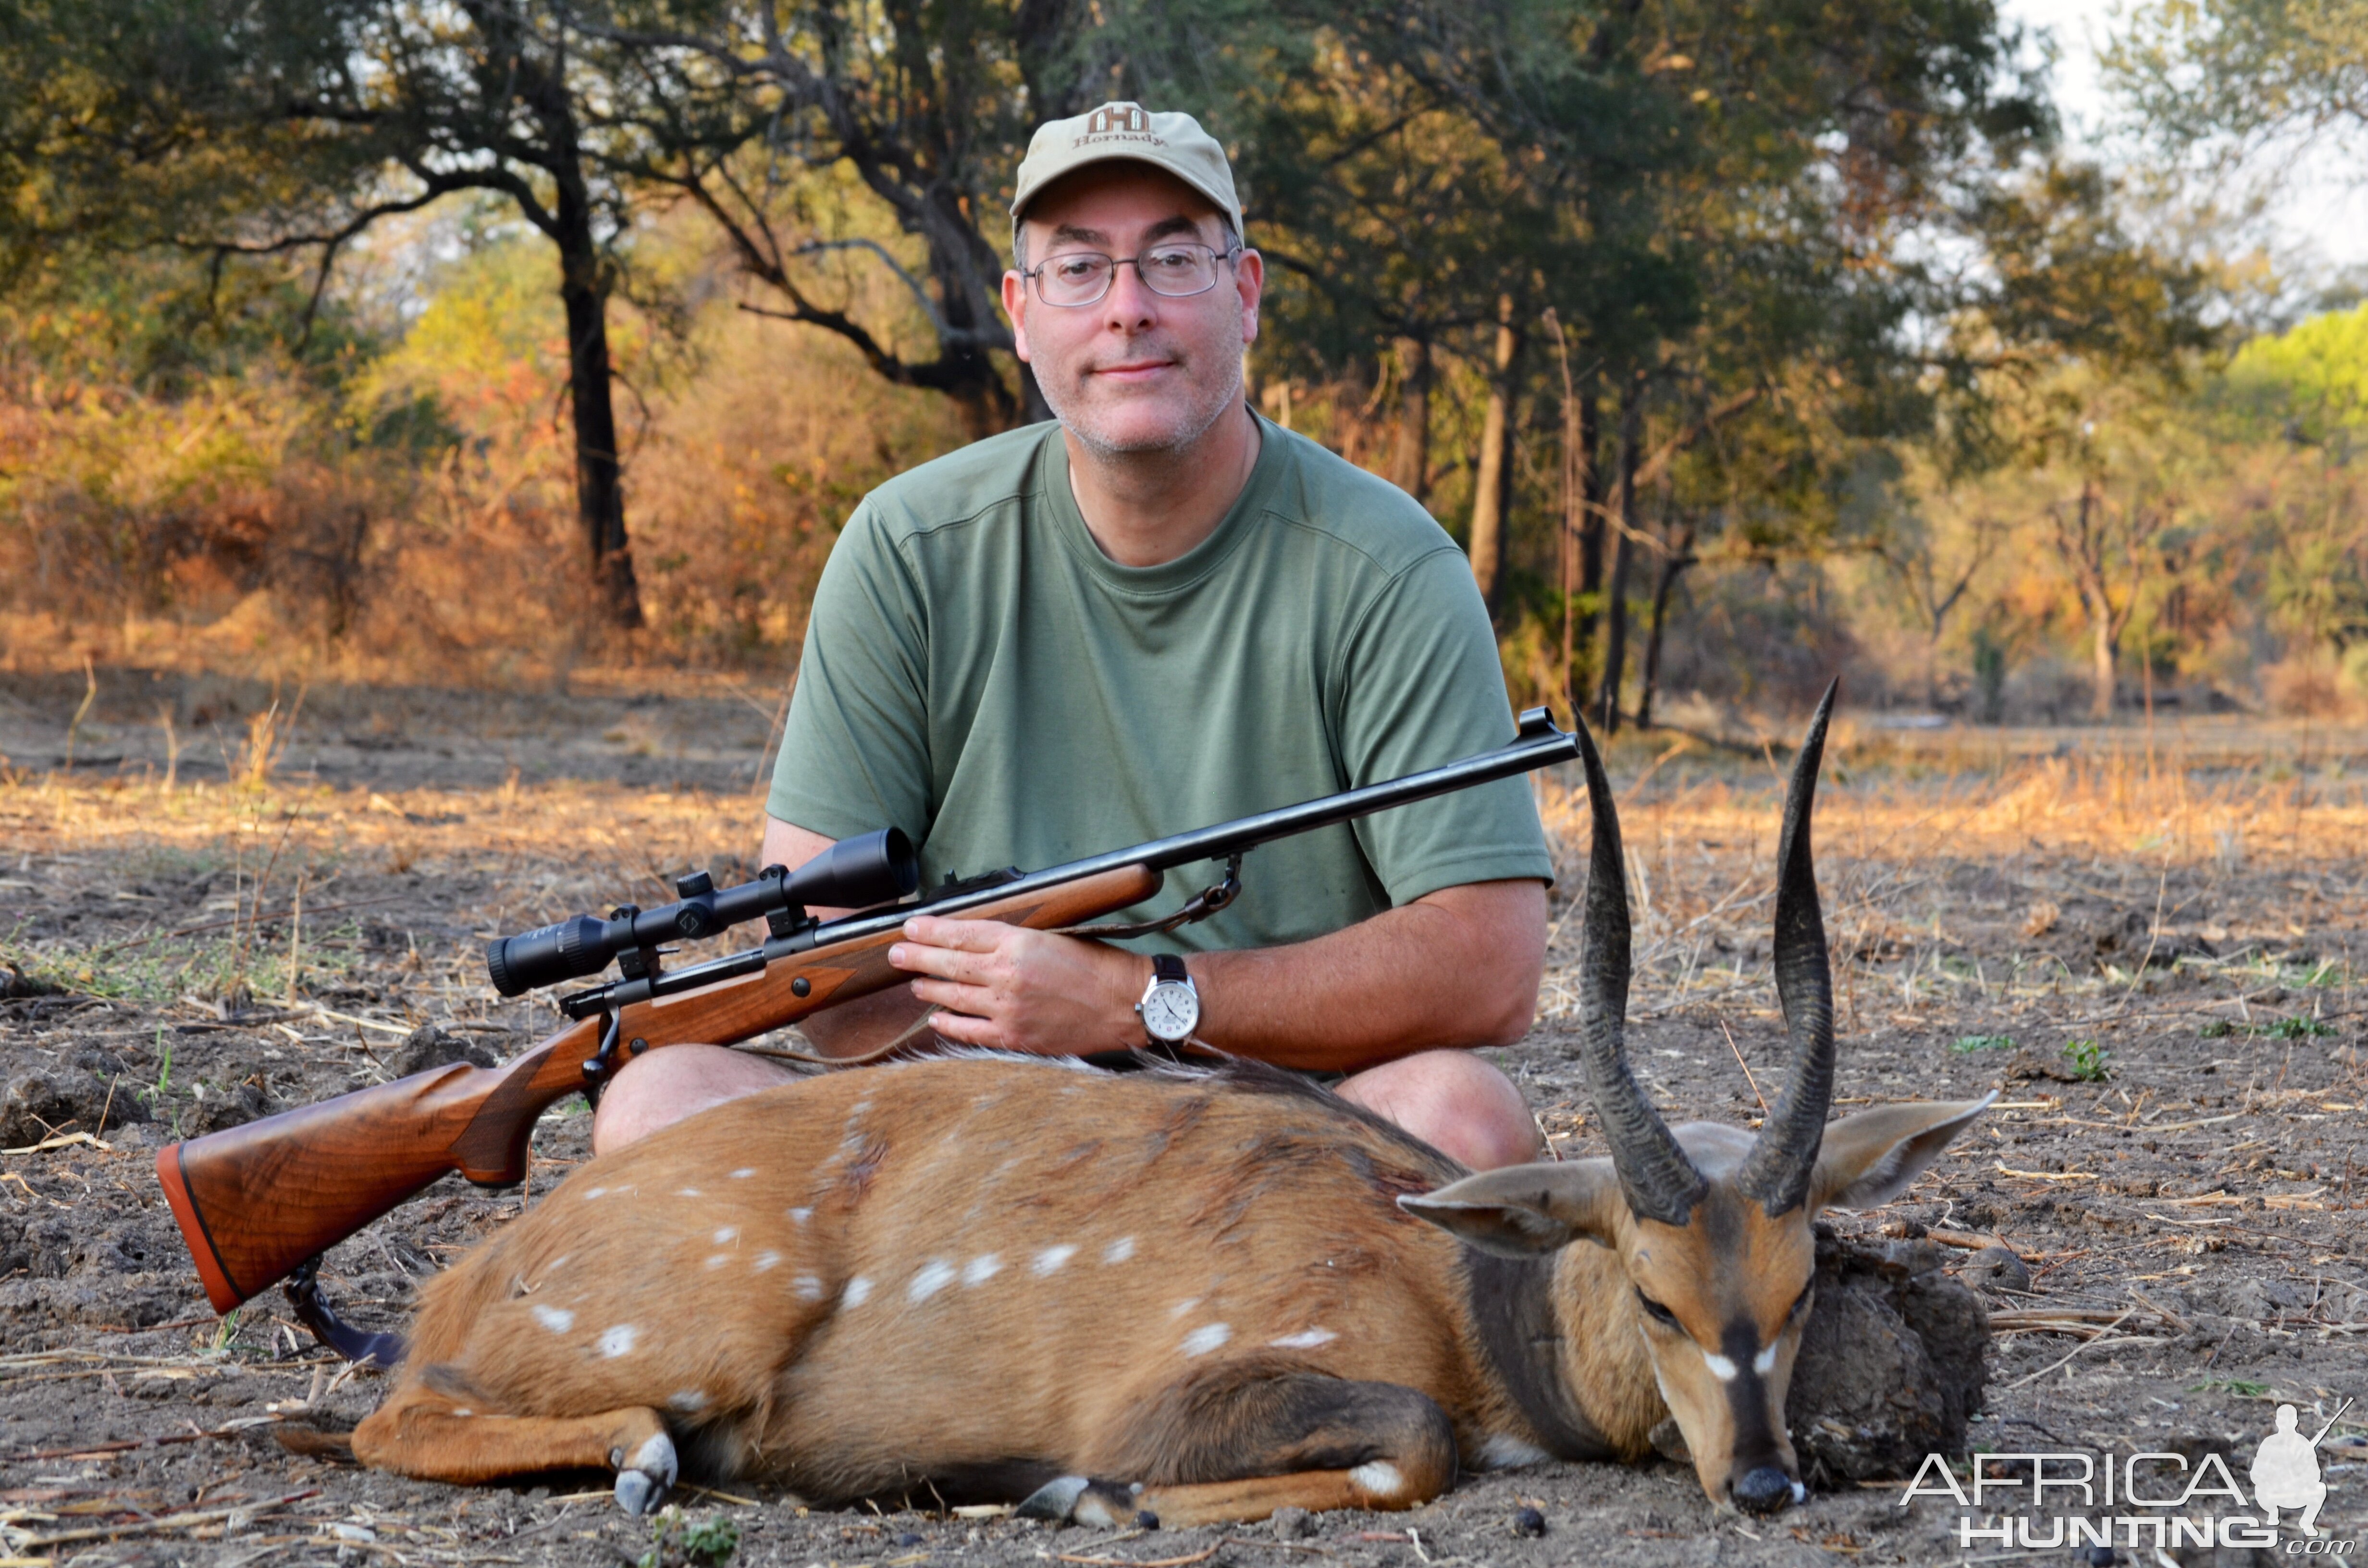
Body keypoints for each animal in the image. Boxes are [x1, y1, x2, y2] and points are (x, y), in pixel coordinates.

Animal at [350, 691, 1989, 1525]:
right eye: (1653, 1293)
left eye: (1803, 1276)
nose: (1767, 1479)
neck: (1458, 1292)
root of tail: (460, 1280)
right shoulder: (1189, 1387)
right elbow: (1410, 1447)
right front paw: (1085, 1502)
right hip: (692, 1336)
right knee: (393, 1416)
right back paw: (641, 1458)